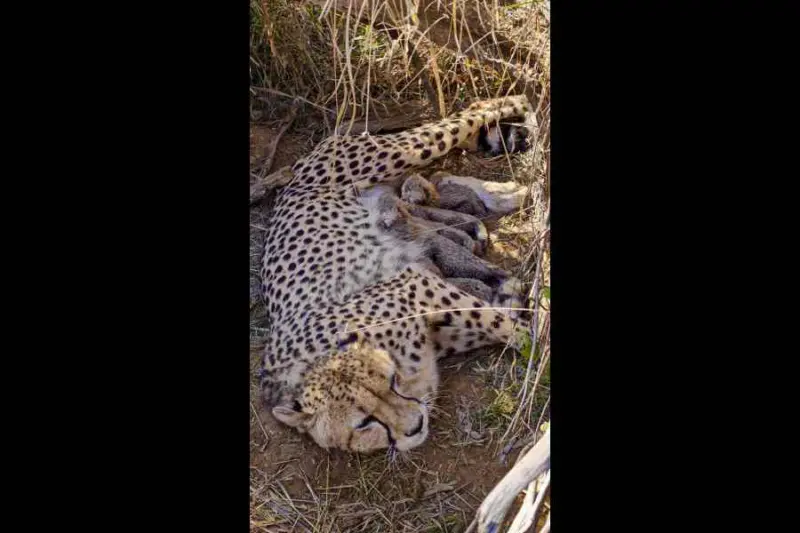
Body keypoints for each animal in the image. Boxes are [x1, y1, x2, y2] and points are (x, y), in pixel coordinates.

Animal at [259, 95, 533, 454]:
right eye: (363, 423)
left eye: (391, 382)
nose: (415, 425)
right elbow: (493, 315)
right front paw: (508, 294)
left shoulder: (415, 285)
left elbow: (501, 323)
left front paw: (537, 342)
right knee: (442, 174)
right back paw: (506, 194)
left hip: (400, 151)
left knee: (472, 114)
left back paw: (521, 108)